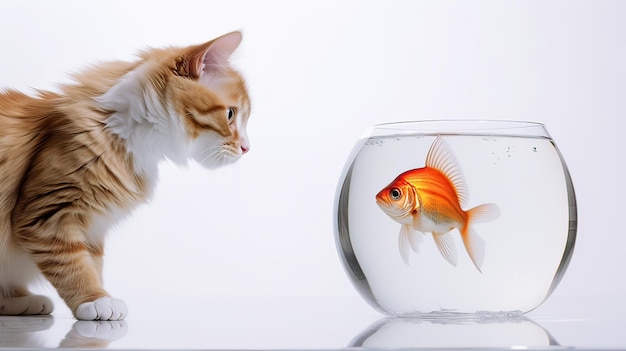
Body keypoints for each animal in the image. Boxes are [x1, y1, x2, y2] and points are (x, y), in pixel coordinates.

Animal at [0, 31, 249, 320]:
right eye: (230, 114)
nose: (247, 148)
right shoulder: (48, 213)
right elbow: (73, 264)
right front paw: (95, 300)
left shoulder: (93, 225)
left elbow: (91, 262)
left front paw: (102, 295)